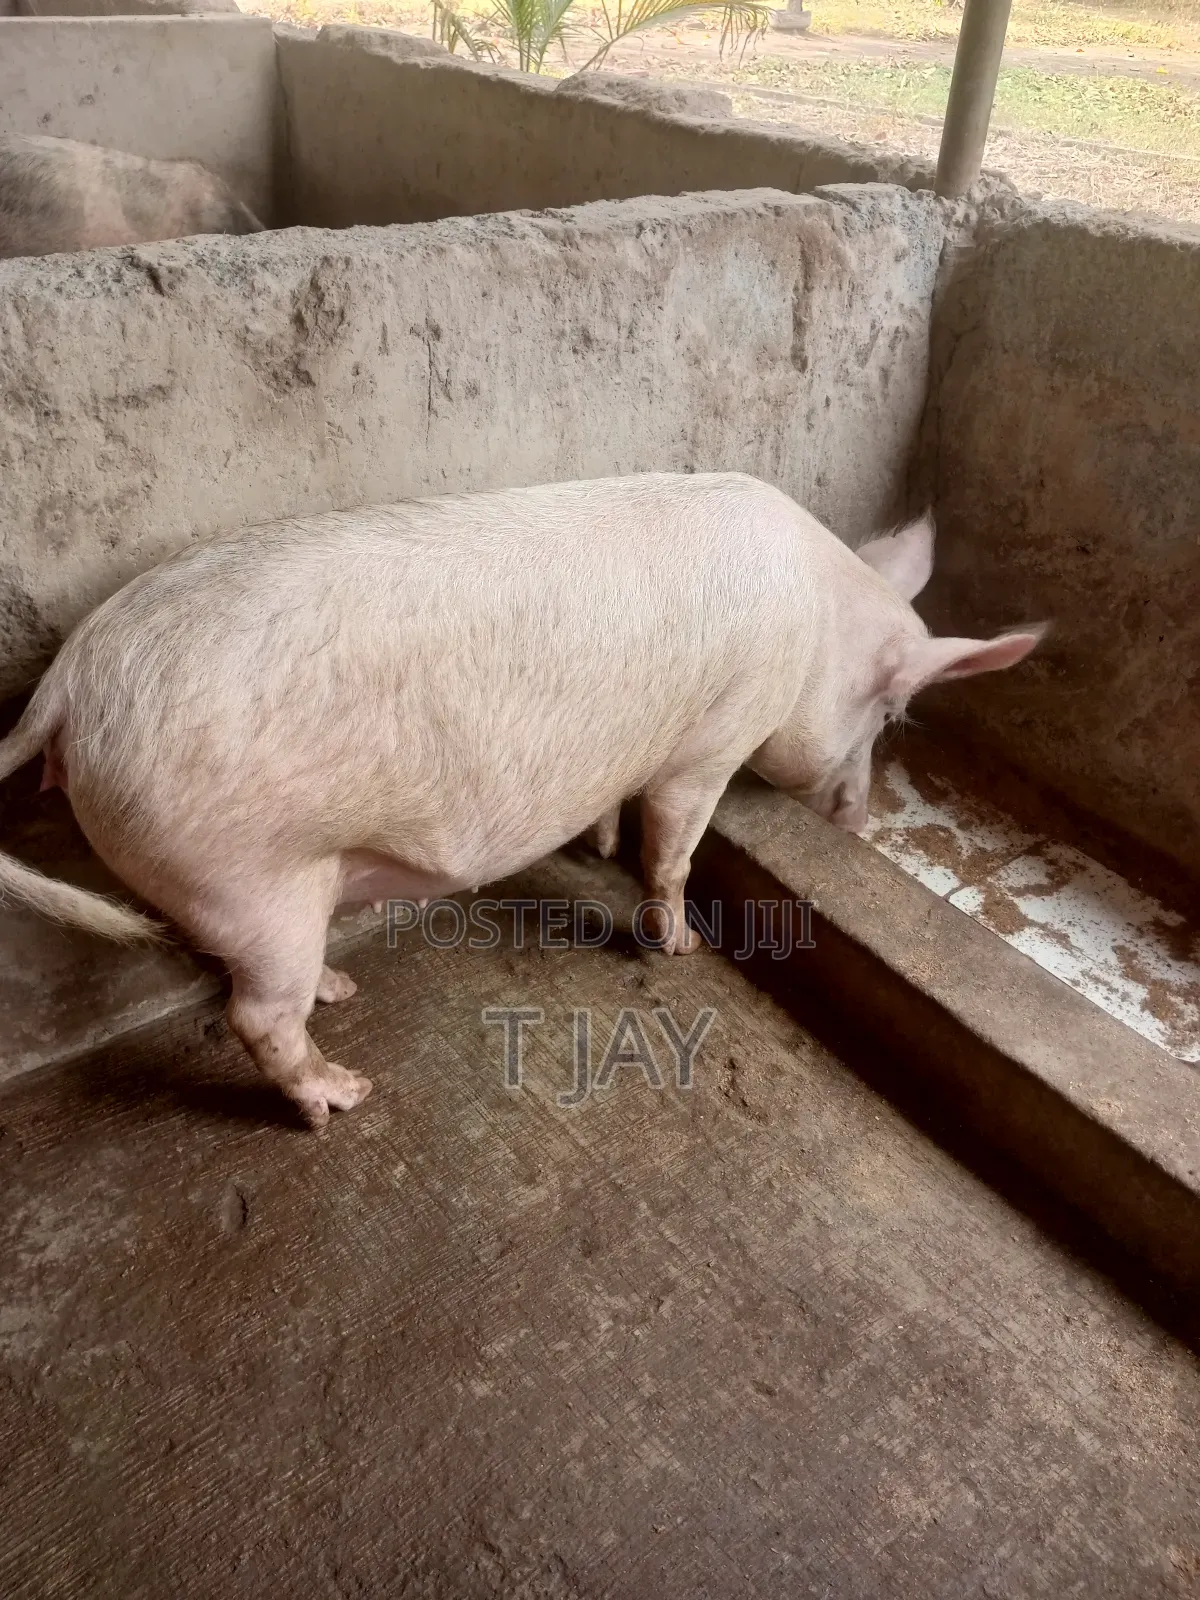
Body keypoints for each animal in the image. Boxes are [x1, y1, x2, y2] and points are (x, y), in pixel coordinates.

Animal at [0, 473, 1042, 1126]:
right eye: (892, 712)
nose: (858, 820)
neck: (819, 624)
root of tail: (70, 685)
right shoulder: (713, 739)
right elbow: (675, 846)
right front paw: (682, 947)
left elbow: (621, 810)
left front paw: (600, 844)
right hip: (240, 874)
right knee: (258, 1017)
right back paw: (346, 1097)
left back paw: (341, 993)